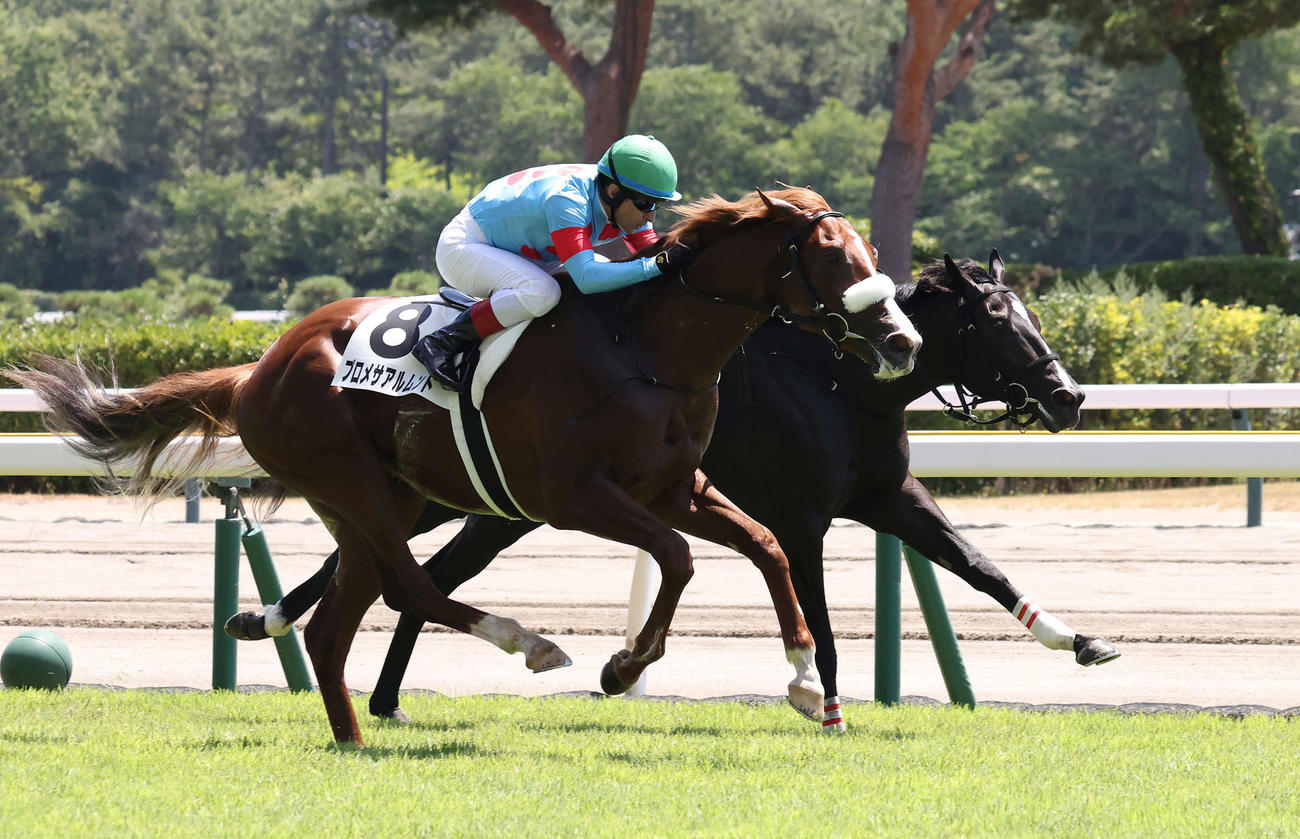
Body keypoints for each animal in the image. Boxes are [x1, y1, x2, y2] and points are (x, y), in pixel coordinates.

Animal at [7, 187, 922, 745]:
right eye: (834, 259)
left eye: (871, 251)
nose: (902, 340)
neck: (645, 348)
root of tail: (257, 366)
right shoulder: (571, 496)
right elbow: (677, 556)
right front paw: (623, 665)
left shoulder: (676, 487)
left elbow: (763, 546)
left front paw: (804, 682)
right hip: (356, 483)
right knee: (408, 588)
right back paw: (526, 642)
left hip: (377, 498)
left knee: (339, 621)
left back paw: (351, 733)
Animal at [231, 251, 1119, 731]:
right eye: (997, 323)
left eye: (1031, 313)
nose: (1069, 396)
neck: (838, 380)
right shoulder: (802, 516)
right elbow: (823, 621)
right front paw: (825, 703)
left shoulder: (888, 494)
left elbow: (981, 565)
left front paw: (1077, 638)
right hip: (464, 497)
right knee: (396, 570)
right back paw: (282, 628)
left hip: (497, 508)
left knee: (420, 575)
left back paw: (372, 689)